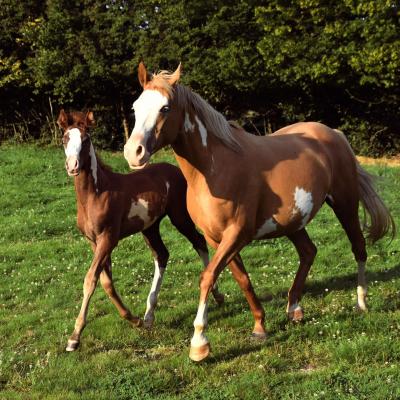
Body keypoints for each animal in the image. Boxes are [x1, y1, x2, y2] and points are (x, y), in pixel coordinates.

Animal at [57, 109, 223, 354]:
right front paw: (134, 320)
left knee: (199, 242)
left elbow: (91, 280)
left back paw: (218, 296)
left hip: (179, 217)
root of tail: (174, 169)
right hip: (149, 227)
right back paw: (148, 315)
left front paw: (74, 337)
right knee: (162, 255)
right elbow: (106, 282)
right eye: (65, 138)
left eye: (86, 140)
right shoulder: (94, 242)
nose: (73, 165)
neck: (95, 194)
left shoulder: (108, 238)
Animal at [123, 63, 396, 362]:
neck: (214, 169)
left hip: (345, 204)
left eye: (165, 108)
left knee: (358, 247)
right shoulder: (216, 239)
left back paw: (361, 303)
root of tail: (334, 134)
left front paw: (199, 343)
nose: (133, 152)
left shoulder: (237, 234)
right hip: (294, 221)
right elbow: (241, 279)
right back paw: (294, 308)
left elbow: (207, 278)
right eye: (135, 107)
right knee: (309, 252)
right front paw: (259, 326)